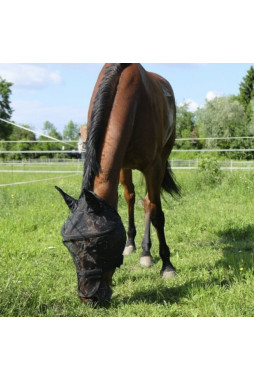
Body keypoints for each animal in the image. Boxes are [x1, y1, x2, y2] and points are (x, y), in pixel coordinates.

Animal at [56, 63, 179, 306]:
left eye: (101, 244)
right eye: (69, 246)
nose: (89, 297)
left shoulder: (154, 166)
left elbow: (157, 214)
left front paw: (167, 266)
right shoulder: (119, 164)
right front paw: (130, 246)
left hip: (162, 158)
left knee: (149, 203)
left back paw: (146, 253)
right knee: (131, 197)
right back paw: (134, 246)